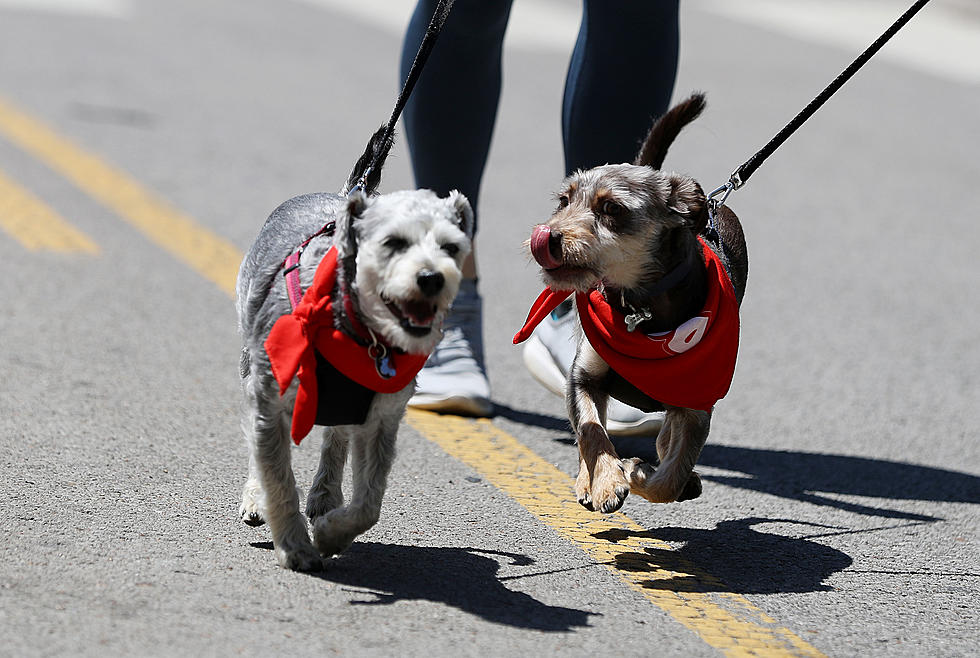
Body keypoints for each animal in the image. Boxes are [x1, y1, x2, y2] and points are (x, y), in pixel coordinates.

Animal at [234, 129, 470, 568]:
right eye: (393, 242)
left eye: (451, 247)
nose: (432, 278)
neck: (359, 331)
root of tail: (345, 194)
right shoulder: (270, 399)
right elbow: (277, 477)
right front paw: (295, 546)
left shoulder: (381, 417)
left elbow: (370, 500)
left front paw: (331, 534)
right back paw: (259, 499)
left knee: (336, 438)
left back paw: (326, 496)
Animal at [516, 93, 748, 512]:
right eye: (563, 201)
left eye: (612, 208)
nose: (548, 235)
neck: (640, 306)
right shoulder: (582, 379)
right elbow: (590, 432)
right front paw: (606, 481)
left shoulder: (696, 405)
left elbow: (669, 477)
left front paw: (639, 474)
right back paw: (588, 481)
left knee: (667, 444)